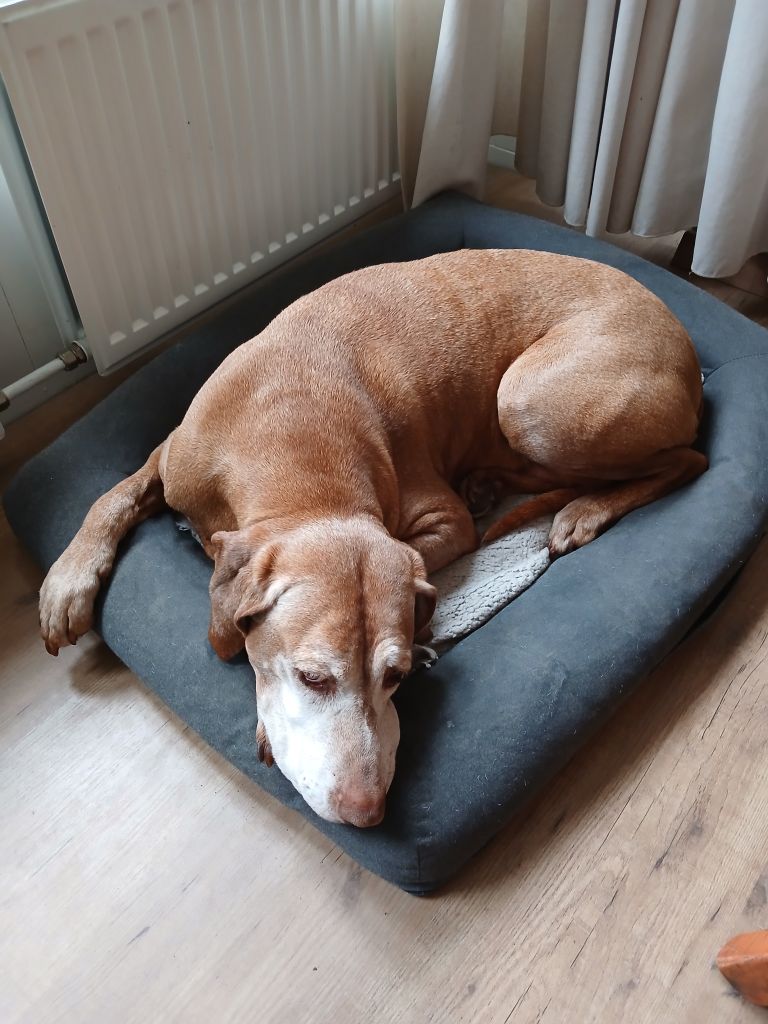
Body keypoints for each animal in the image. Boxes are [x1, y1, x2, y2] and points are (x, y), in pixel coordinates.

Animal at [39, 250, 705, 826]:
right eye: (313, 678)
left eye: (397, 675)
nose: (367, 812)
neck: (293, 441)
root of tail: (690, 353)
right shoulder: (173, 453)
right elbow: (112, 496)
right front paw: (67, 583)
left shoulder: (442, 521)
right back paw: (495, 483)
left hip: (532, 400)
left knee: (685, 462)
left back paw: (580, 511)